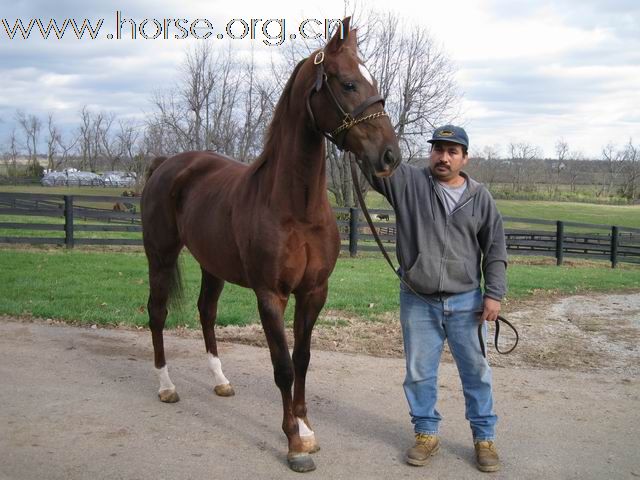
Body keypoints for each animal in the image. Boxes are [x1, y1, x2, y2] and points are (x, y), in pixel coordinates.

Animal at [142, 16, 398, 470]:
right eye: (349, 83)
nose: (389, 156)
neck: (296, 208)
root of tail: (166, 164)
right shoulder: (270, 296)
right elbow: (282, 367)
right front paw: (294, 443)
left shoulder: (313, 292)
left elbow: (303, 360)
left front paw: (308, 430)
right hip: (160, 256)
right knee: (157, 314)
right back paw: (167, 386)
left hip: (212, 265)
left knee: (206, 312)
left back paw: (221, 381)